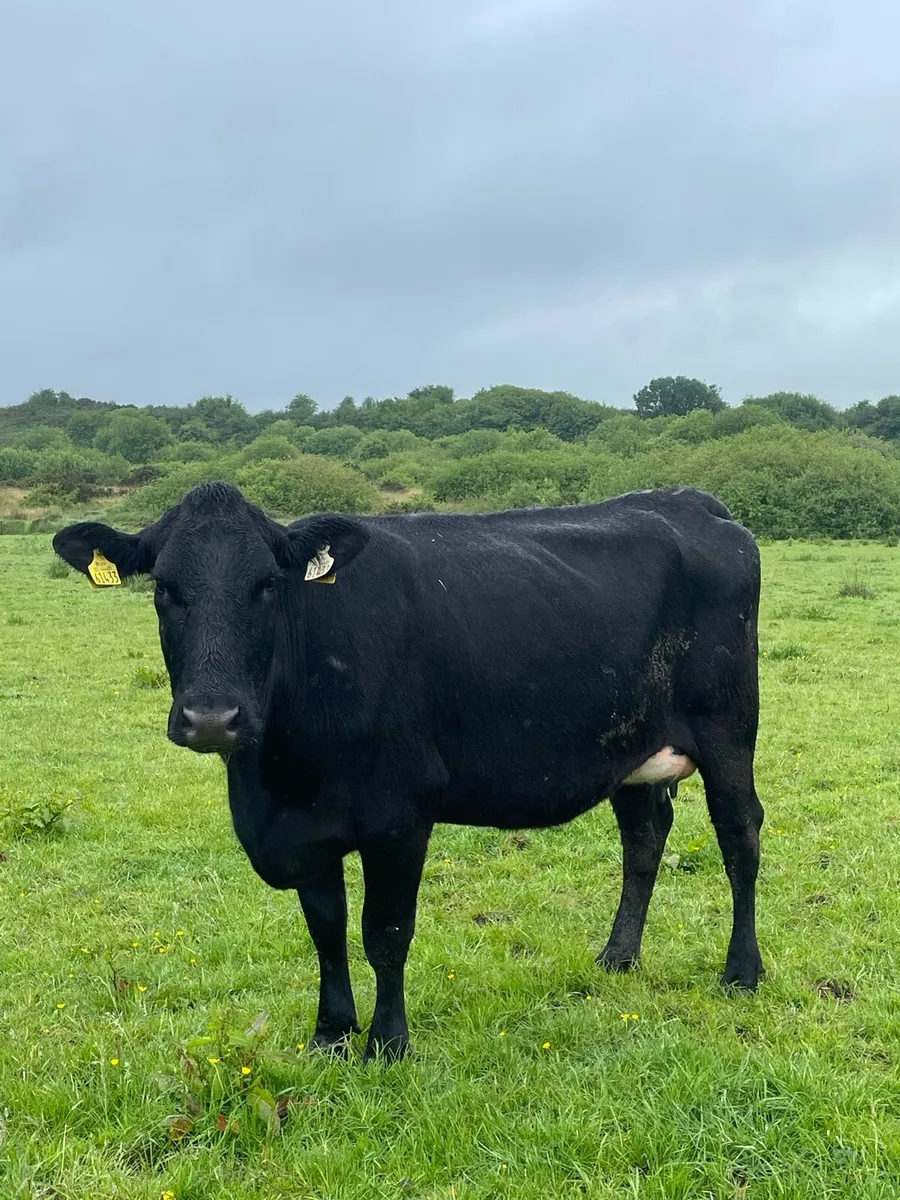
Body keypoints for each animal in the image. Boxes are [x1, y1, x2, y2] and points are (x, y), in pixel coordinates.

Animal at [53, 483, 764, 1061]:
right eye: (164, 589)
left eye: (266, 586)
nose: (211, 718)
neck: (276, 780)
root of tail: (694, 503)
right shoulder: (306, 831)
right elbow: (327, 930)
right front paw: (332, 1033)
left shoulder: (398, 817)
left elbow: (385, 933)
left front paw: (388, 1043)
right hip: (631, 748)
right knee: (644, 840)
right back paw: (617, 958)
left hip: (729, 727)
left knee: (740, 838)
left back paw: (741, 972)